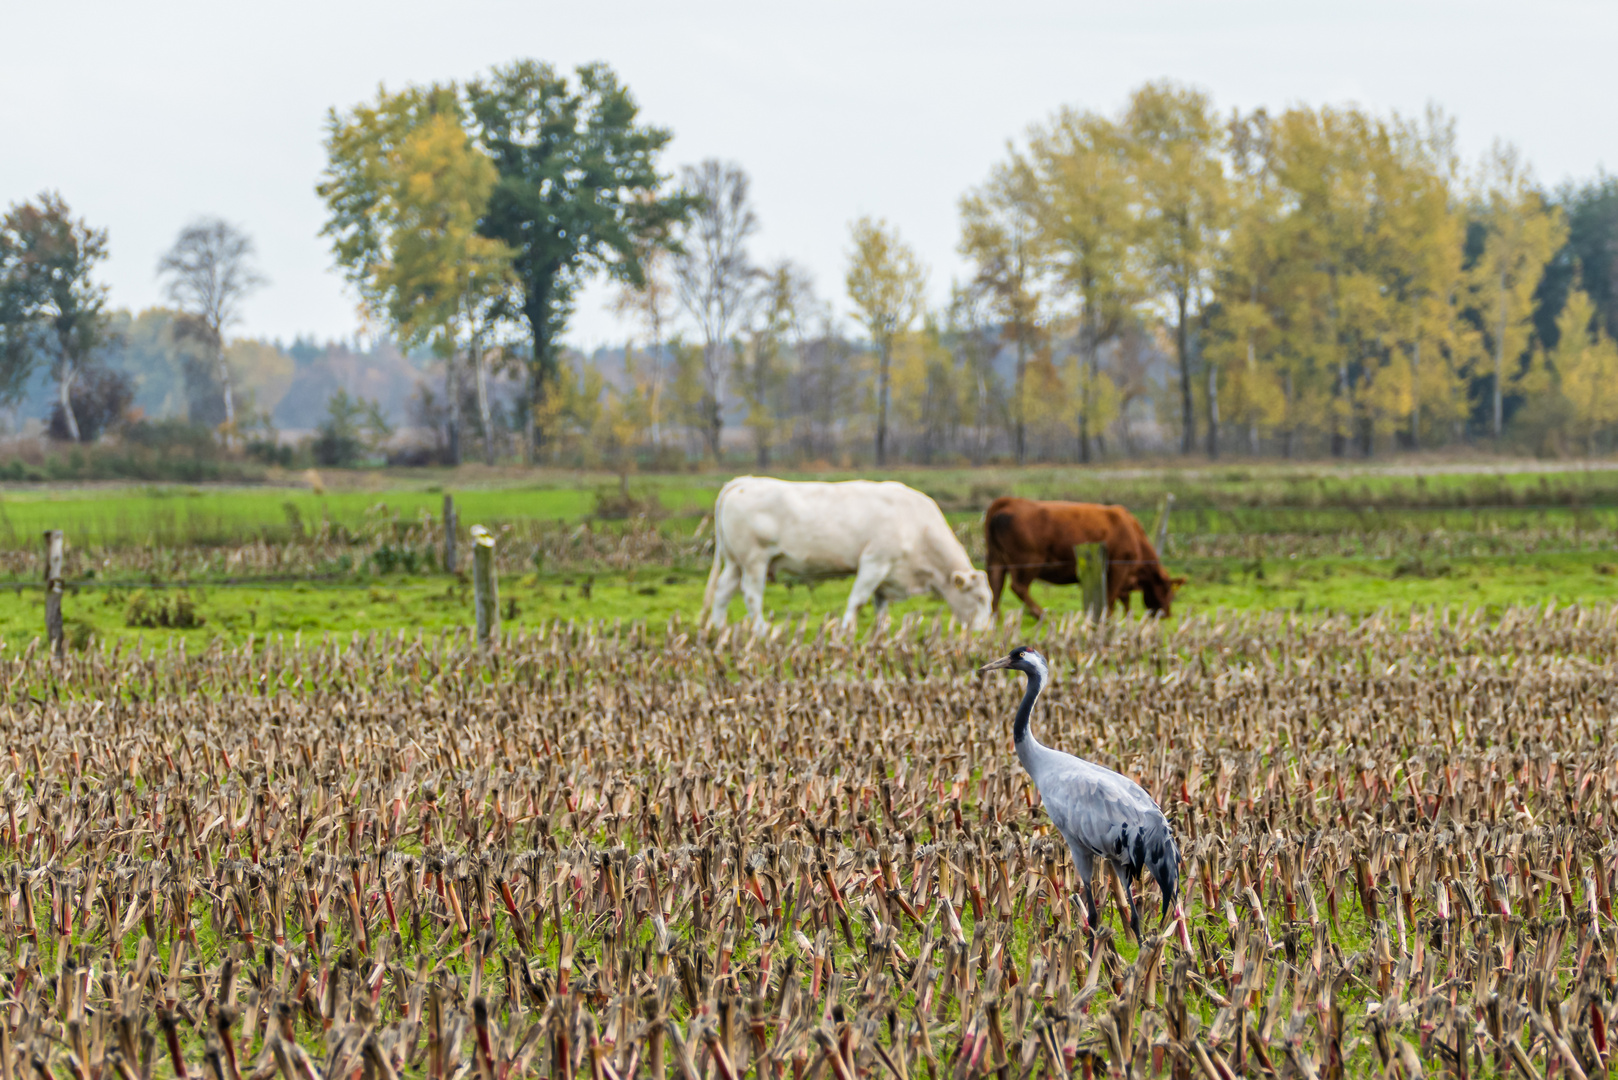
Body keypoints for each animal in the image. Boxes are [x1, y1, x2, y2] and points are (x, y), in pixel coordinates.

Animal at [702, 476, 990, 634]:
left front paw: (881, 631)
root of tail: (745, 481)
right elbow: (858, 599)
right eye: (979, 598)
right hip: (754, 561)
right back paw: (761, 630)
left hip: (734, 562)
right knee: (751, 594)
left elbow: (880, 606)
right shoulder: (874, 561)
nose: (985, 632)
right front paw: (846, 629)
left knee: (723, 591)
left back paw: (717, 628)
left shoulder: (887, 574)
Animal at [977, 495, 1184, 621]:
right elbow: (1111, 596)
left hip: (995, 559)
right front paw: (1107, 617)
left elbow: (1123, 598)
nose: (1167, 614)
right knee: (1018, 587)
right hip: (1028, 561)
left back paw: (996, 619)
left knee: (995, 586)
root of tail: (1010, 501)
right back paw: (1040, 613)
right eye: (1169, 591)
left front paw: (1126, 616)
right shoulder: (1119, 567)